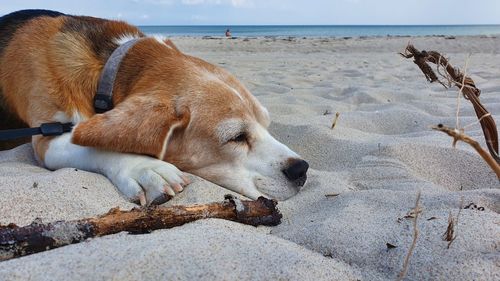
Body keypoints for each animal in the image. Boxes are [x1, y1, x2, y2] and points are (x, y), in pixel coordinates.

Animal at [0, 9, 308, 205]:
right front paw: (144, 168)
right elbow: (91, 146)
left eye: (267, 124)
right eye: (236, 137)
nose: (302, 170)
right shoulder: (46, 141)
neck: (109, 65)